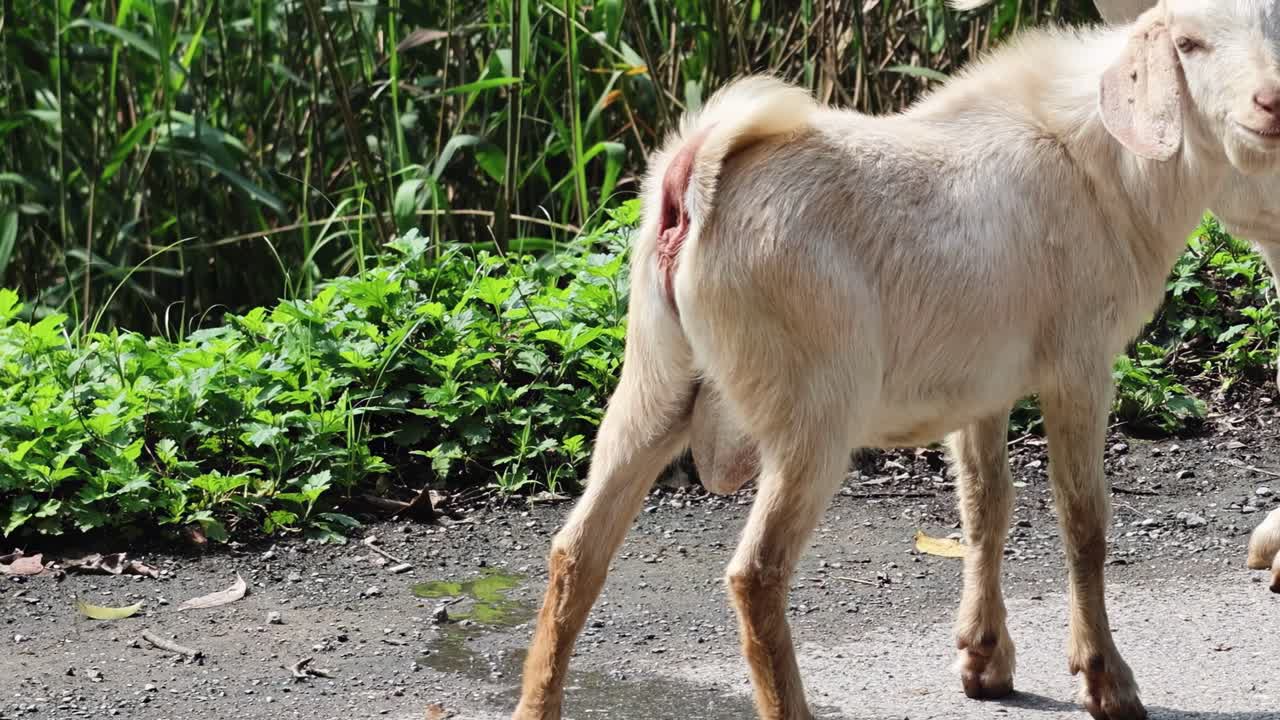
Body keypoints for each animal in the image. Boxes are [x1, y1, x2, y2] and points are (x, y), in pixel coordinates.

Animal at [509, 2, 1280, 720]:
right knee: (756, 574)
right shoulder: (1079, 365)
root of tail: (691, 182)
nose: (1269, 101)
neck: (1098, 167)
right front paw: (1106, 681)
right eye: (1189, 43)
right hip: (813, 410)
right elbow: (1084, 521)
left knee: (577, 552)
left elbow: (985, 507)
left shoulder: (982, 387)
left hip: (653, 382)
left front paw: (984, 660)